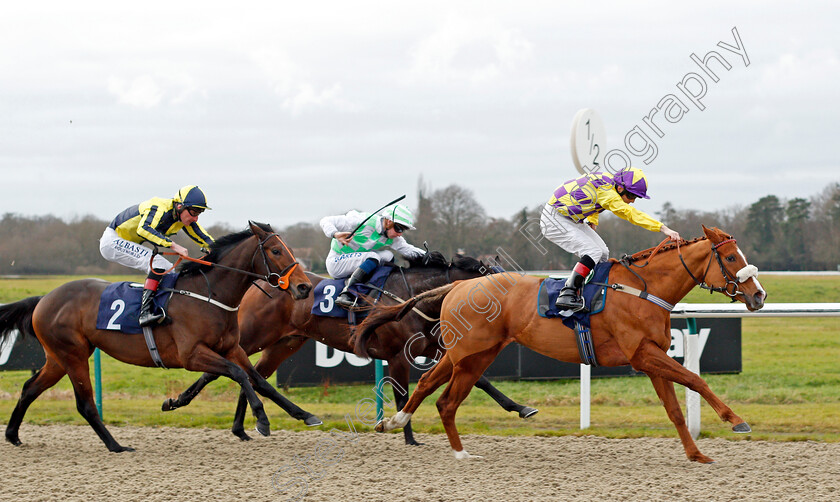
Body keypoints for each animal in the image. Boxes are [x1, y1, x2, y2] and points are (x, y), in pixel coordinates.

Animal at [0, 223, 316, 452]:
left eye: (287, 249)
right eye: (275, 250)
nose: (304, 287)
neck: (208, 295)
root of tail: (43, 299)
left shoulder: (232, 349)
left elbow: (260, 381)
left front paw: (305, 415)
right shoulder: (192, 355)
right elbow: (238, 374)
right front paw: (261, 420)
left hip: (58, 357)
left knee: (30, 388)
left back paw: (13, 435)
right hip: (73, 354)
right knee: (85, 404)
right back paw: (116, 446)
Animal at [161, 255, 536, 444]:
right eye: (492, 274)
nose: (518, 296)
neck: (415, 298)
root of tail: (260, 284)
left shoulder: (435, 348)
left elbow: (479, 379)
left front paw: (521, 408)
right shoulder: (398, 355)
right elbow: (403, 393)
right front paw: (406, 435)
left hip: (284, 344)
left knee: (253, 375)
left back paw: (242, 428)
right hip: (250, 335)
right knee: (226, 370)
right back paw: (179, 402)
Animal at [368, 227, 768, 462]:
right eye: (730, 257)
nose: (759, 296)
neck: (643, 289)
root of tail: (458, 285)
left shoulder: (651, 358)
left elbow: (675, 410)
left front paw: (696, 454)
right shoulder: (643, 354)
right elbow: (696, 379)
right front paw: (736, 421)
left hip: (471, 354)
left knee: (435, 392)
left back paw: (409, 428)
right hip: (467, 353)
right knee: (441, 395)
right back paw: (450, 448)